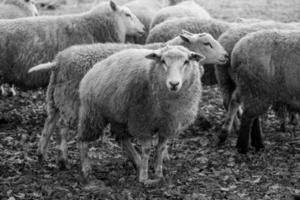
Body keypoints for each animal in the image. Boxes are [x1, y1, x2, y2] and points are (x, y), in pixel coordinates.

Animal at [29, 32, 227, 170]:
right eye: (206, 43)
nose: (225, 56)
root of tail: (58, 61)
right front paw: (162, 157)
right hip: (73, 100)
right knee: (62, 126)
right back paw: (63, 160)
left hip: (56, 97)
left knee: (49, 123)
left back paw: (41, 155)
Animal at [78, 45, 204, 184]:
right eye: (163, 61)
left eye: (186, 61)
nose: (174, 84)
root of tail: (95, 67)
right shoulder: (142, 121)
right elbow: (147, 150)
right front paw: (144, 177)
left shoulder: (168, 125)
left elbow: (161, 148)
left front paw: (158, 174)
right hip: (93, 113)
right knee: (83, 140)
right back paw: (86, 169)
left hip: (119, 115)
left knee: (122, 138)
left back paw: (136, 161)